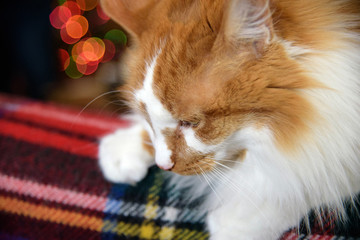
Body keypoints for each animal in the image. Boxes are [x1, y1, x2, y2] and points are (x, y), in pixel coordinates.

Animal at [97, 0, 360, 239]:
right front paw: (124, 147)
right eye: (148, 118)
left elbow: (312, 171)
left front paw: (245, 217)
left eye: (191, 123)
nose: (163, 166)